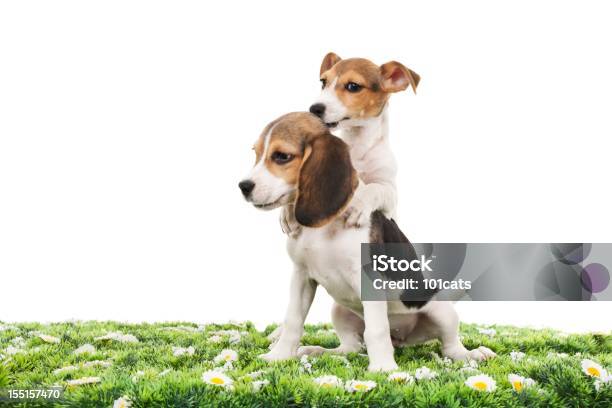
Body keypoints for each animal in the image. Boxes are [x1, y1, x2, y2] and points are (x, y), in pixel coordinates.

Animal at [240, 112, 498, 372]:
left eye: (281, 156)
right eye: (256, 153)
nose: (243, 186)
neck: (324, 228)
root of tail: (402, 338)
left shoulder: (368, 279)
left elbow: (376, 330)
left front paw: (383, 368)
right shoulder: (302, 276)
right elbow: (293, 320)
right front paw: (279, 356)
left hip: (441, 311)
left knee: (449, 345)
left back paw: (472, 355)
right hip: (340, 311)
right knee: (351, 347)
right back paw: (320, 351)